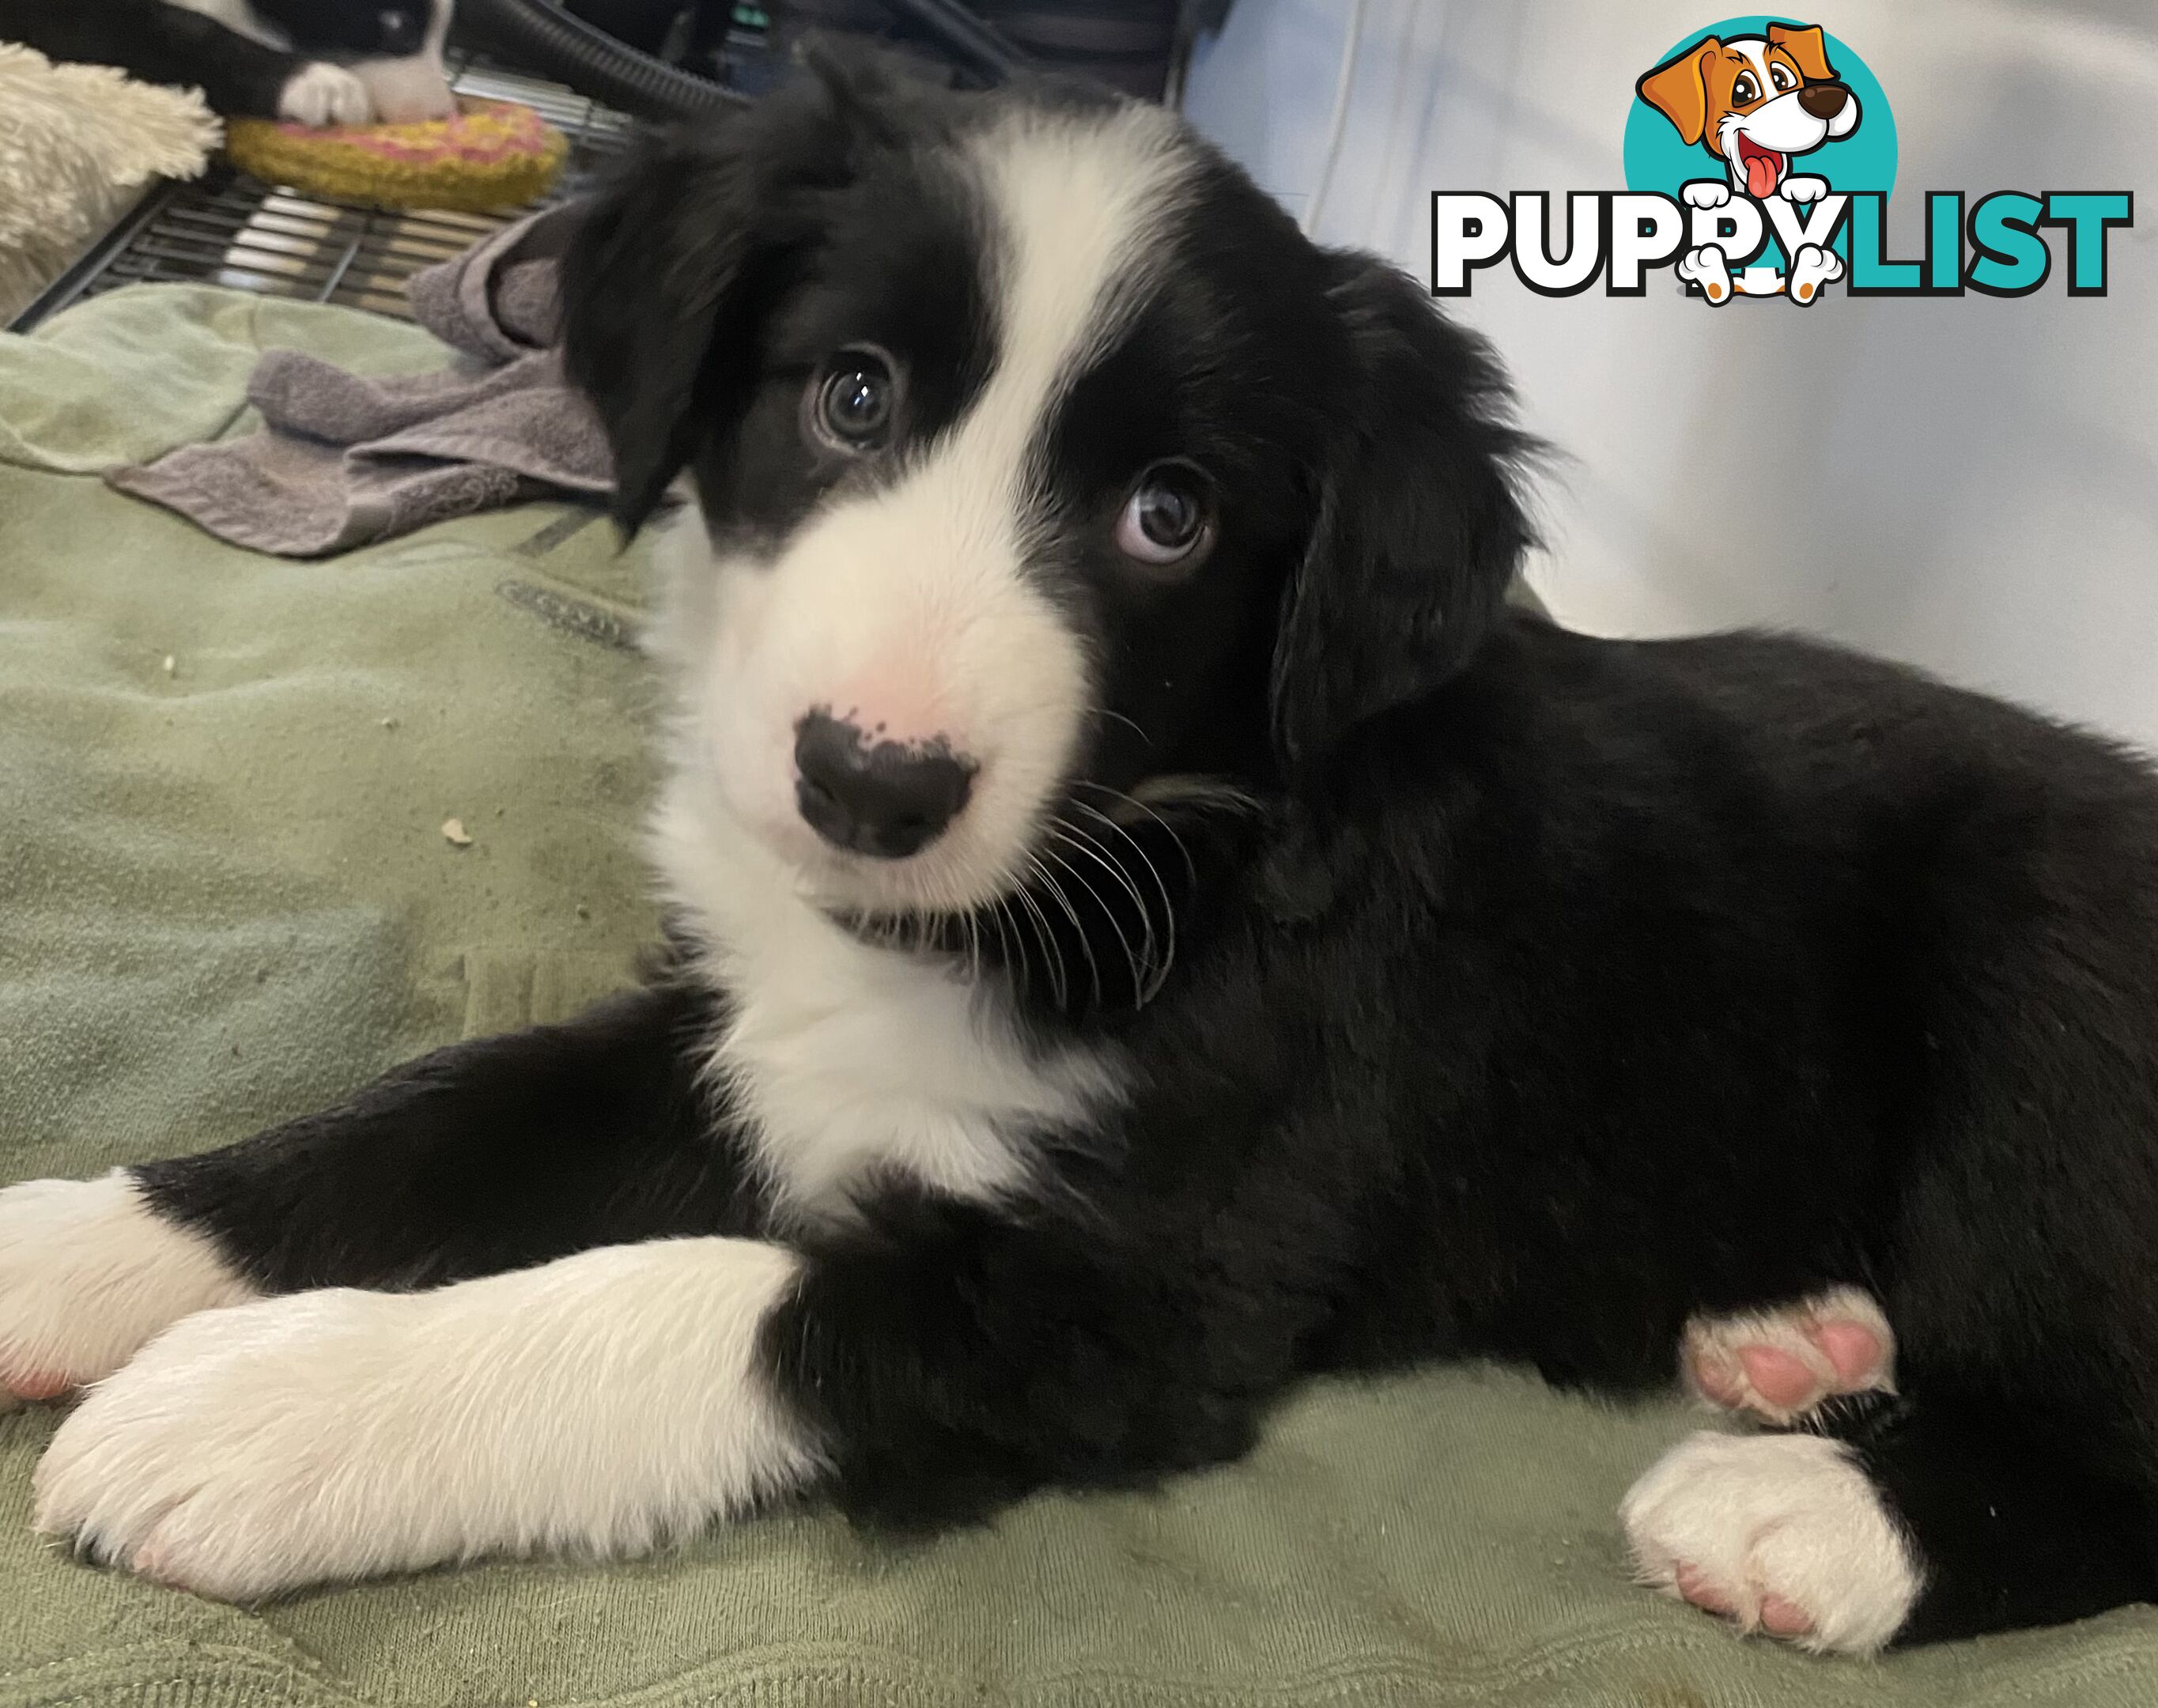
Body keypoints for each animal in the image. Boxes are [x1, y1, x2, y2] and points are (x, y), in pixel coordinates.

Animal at [4, 50, 2158, 1658]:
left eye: (1167, 516)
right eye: (849, 394)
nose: (868, 783)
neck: (1115, 867)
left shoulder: (1139, 1283)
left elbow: (693, 1292)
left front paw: (269, 1409)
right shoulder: (738, 1024)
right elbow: (444, 1113)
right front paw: (87, 1248)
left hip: (2049, 998)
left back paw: (1797, 1511)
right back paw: (1791, 1339)